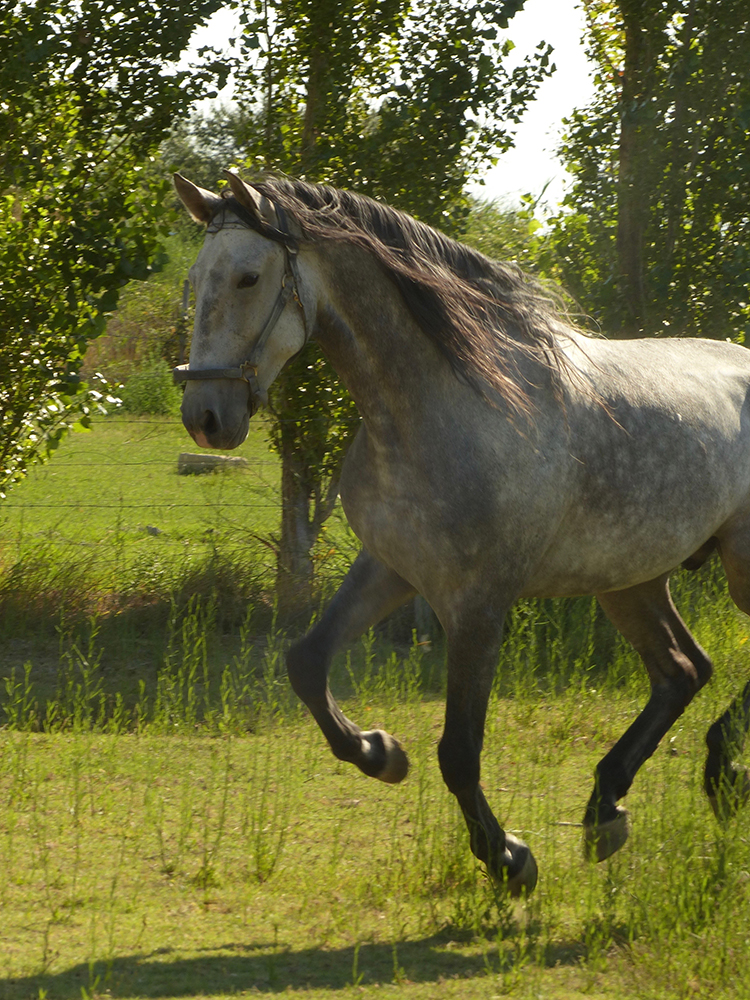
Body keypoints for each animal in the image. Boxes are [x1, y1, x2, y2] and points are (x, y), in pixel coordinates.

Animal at [172, 168, 750, 896]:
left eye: (249, 277)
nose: (205, 419)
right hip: (630, 576)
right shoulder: (392, 566)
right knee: (682, 670)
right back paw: (608, 809)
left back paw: (720, 773)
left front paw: (508, 858)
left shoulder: (477, 602)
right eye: (197, 277)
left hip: (730, 567)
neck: (447, 404)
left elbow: (459, 751)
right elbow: (305, 662)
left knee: (692, 670)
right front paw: (380, 753)